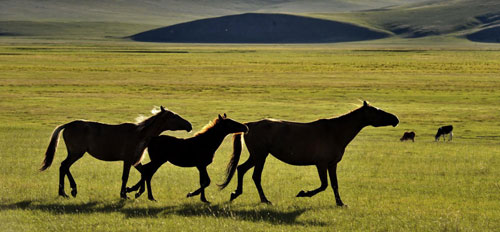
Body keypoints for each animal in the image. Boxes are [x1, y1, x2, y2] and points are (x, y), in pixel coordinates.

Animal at [38, 106, 191, 198]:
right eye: (174, 116)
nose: (189, 125)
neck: (140, 134)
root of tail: (67, 125)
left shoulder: (135, 161)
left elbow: (144, 173)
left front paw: (136, 191)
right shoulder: (128, 160)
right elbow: (125, 177)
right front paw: (125, 194)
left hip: (75, 153)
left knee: (64, 167)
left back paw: (66, 191)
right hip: (76, 153)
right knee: (64, 166)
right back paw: (69, 191)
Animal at [219, 100, 398, 206]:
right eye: (377, 111)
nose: (395, 119)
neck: (334, 132)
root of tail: (249, 125)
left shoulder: (332, 164)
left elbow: (334, 184)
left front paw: (340, 203)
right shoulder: (321, 164)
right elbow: (324, 185)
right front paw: (303, 193)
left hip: (257, 156)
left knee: (242, 169)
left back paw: (237, 194)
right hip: (260, 156)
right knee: (255, 176)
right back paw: (264, 200)